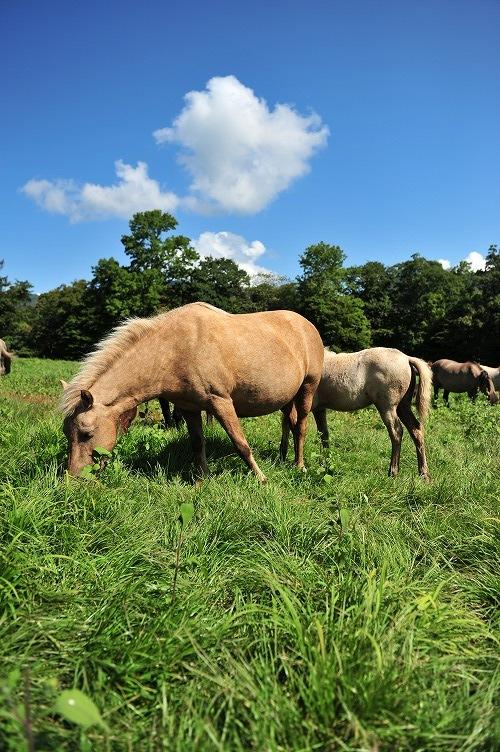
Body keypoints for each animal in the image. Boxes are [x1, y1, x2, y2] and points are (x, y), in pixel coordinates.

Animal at [60, 302, 324, 482]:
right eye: (66, 433)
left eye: (86, 433)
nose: (74, 479)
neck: (173, 350)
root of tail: (307, 325)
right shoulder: (189, 408)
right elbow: (197, 444)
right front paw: (202, 481)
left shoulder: (221, 402)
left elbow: (241, 444)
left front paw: (261, 479)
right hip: (286, 398)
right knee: (288, 424)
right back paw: (283, 456)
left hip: (307, 389)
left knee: (300, 427)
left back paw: (299, 465)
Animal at [280, 346, 432, 476]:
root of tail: (406, 358)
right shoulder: (319, 409)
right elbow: (322, 434)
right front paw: (326, 465)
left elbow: (295, 428)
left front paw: (294, 462)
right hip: (403, 406)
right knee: (416, 429)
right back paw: (424, 474)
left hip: (387, 407)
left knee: (396, 432)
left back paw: (393, 472)